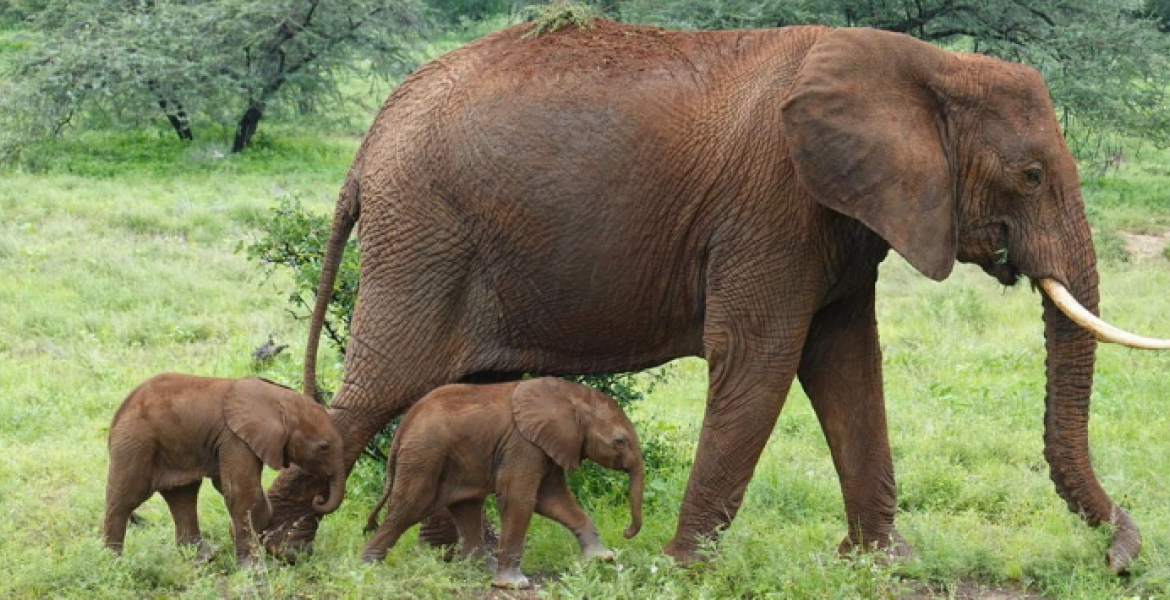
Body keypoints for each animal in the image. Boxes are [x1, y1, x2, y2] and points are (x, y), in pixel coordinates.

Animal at [103, 373, 346, 566]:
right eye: (324, 447)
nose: (318, 500)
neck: (279, 399)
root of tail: (118, 414)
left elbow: (229, 486)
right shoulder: (234, 437)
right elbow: (241, 492)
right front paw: (252, 568)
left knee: (182, 495)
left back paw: (204, 558)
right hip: (136, 442)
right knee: (125, 499)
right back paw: (114, 564)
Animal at [360, 377, 644, 589]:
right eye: (619, 442)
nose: (626, 532)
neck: (571, 394)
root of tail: (404, 424)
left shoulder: (546, 445)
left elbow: (552, 500)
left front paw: (602, 559)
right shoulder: (522, 444)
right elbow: (521, 499)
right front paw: (514, 585)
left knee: (466, 508)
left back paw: (481, 570)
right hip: (424, 454)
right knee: (408, 508)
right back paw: (368, 568)